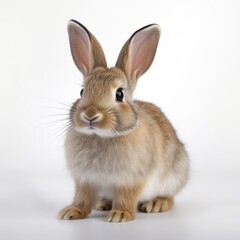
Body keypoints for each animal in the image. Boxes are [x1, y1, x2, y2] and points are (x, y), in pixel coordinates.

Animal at [58, 19, 189, 222]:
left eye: (119, 94)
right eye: (82, 91)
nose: (90, 115)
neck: (101, 136)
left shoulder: (131, 180)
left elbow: (126, 197)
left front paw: (120, 215)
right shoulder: (85, 179)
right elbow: (82, 197)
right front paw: (72, 212)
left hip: (173, 174)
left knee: (169, 196)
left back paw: (156, 204)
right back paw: (103, 204)